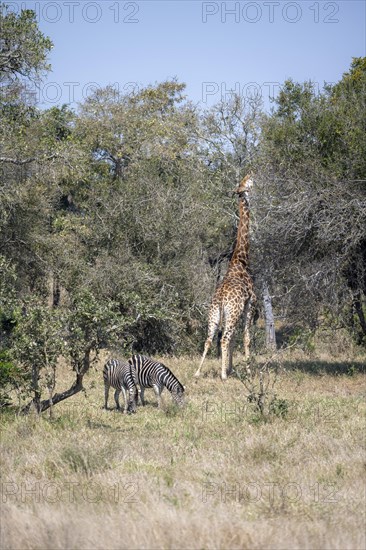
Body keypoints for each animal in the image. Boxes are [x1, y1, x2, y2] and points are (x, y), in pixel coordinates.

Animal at [193, 175, 256, 382]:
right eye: (246, 182)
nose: (251, 174)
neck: (241, 260)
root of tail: (220, 299)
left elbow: (236, 339)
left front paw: (230, 368)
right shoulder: (250, 304)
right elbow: (246, 338)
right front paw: (246, 371)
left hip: (214, 314)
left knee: (209, 339)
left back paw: (198, 372)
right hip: (232, 312)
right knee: (225, 339)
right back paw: (222, 376)